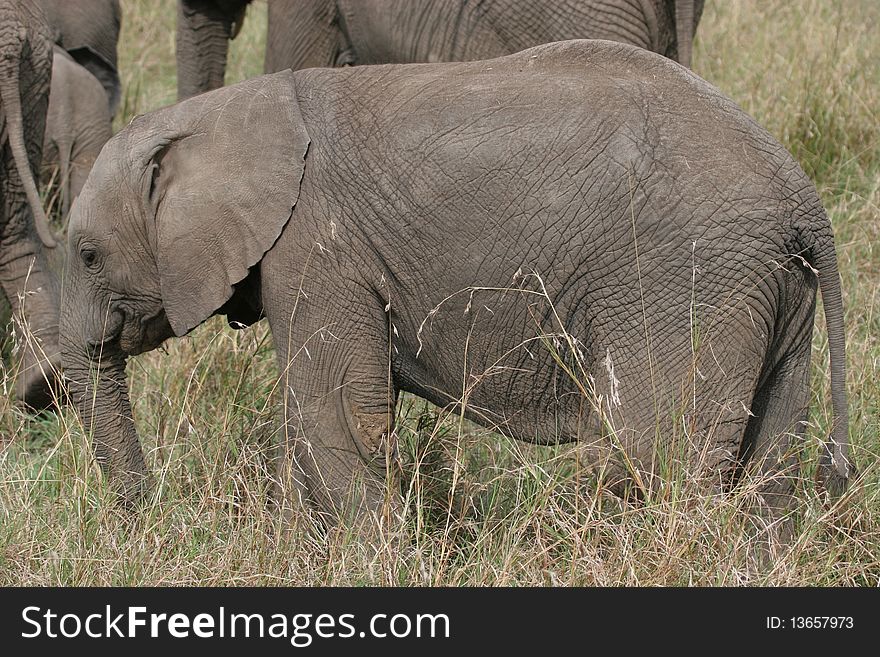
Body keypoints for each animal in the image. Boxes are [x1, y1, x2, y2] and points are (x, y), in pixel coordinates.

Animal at [58, 39, 848, 532]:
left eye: (89, 255)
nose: (153, 516)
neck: (224, 114)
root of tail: (803, 199)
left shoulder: (315, 244)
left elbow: (335, 411)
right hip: (769, 289)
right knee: (770, 460)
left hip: (687, 275)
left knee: (659, 452)